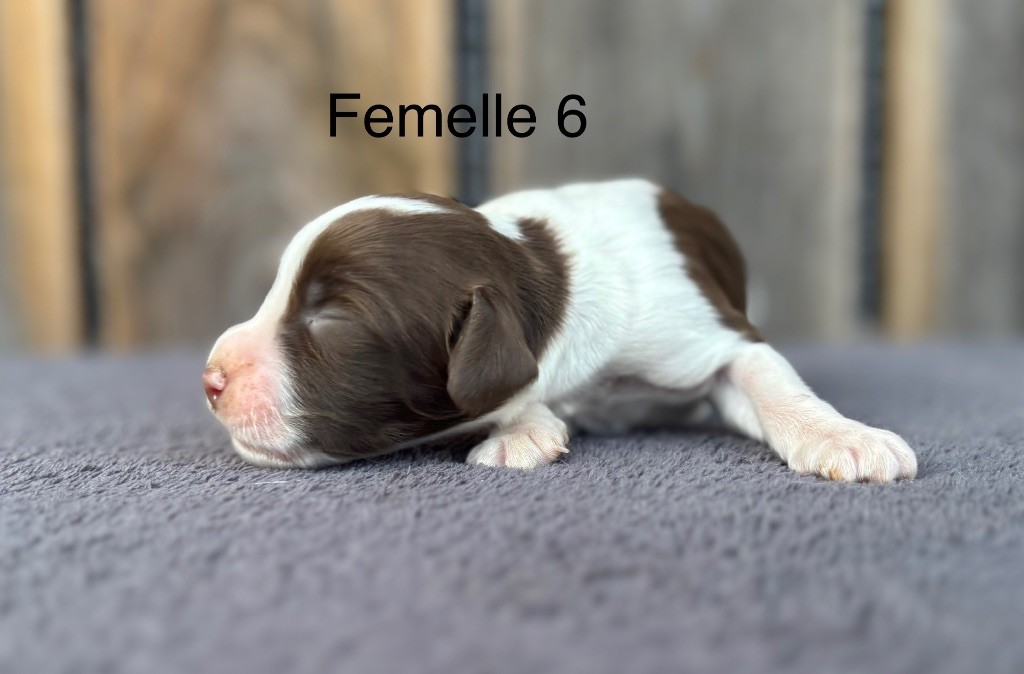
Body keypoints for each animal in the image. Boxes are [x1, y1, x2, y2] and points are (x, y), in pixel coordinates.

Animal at [203, 179, 916, 481]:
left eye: (332, 319)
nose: (210, 379)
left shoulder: (708, 333)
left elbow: (769, 379)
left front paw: (845, 439)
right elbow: (521, 396)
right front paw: (524, 429)